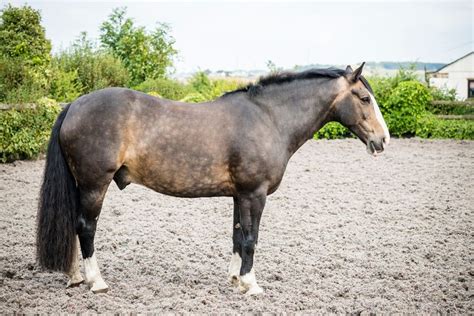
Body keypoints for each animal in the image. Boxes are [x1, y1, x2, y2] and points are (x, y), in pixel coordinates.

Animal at [36, 63, 388, 296]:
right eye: (364, 98)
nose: (382, 139)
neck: (269, 118)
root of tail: (74, 105)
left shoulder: (240, 195)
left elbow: (237, 236)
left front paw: (235, 280)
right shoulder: (255, 194)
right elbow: (251, 239)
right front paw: (251, 285)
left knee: (73, 225)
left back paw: (75, 277)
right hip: (95, 184)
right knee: (86, 227)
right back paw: (96, 282)